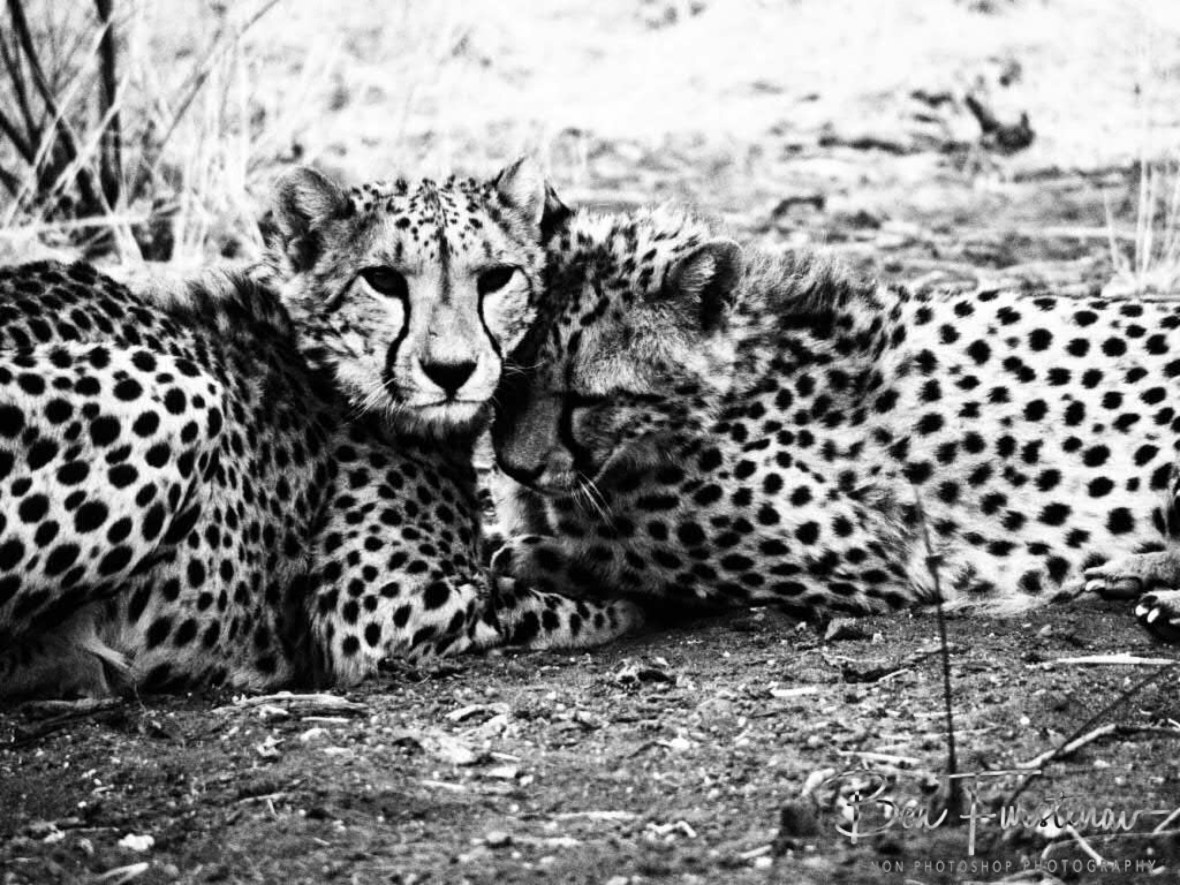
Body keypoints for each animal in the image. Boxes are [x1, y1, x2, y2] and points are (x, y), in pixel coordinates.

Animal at [0, 159, 636, 700]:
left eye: (497, 277)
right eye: (383, 280)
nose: (451, 371)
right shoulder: (376, 609)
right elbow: (523, 600)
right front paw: (620, 601)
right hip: (180, 388)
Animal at [489, 202, 1180, 644]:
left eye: (584, 397)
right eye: (509, 375)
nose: (514, 468)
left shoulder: (867, 554)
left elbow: (638, 556)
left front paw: (533, 553)